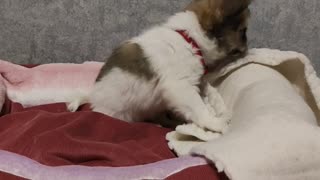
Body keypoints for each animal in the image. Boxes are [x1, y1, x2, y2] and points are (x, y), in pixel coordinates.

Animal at [68, 0, 252, 132]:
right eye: (243, 32)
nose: (247, 49)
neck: (189, 39)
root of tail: (93, 97)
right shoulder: (180, 86)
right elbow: (198, 106)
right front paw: (215, 122)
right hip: (117, 113)